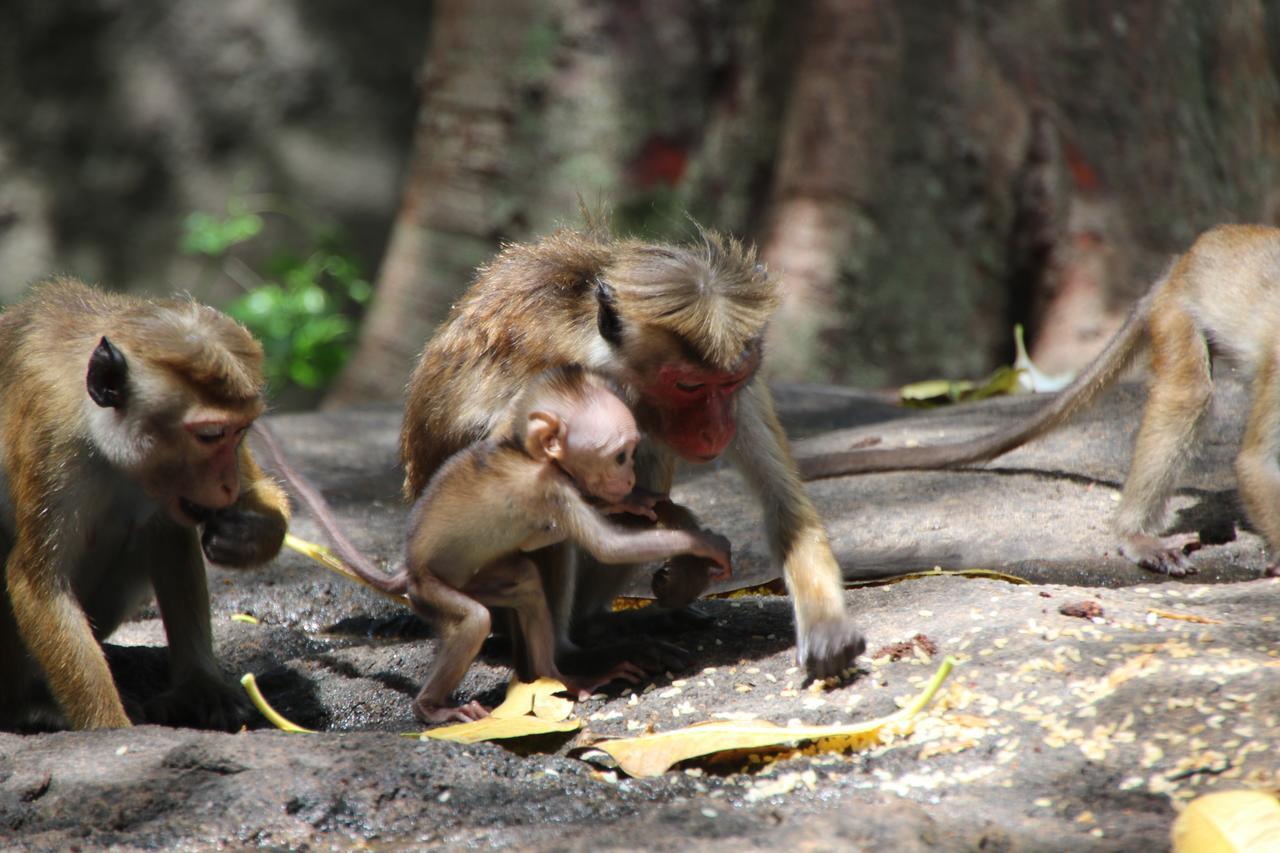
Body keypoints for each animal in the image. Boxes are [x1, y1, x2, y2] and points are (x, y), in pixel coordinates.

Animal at [0, 275, 290, 727]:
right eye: (210, 436)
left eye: (241, 431)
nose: (226, 485)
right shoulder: (50, 437)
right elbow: (37, 581)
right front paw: (111, 727)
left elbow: (253, 495)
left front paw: (247, 531)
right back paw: (27, 704)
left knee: (163, 531)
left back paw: (198, 685)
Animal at [259, 361, 732, 722]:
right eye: (620, 455)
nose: (630, 477)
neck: (530, 456)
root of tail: (407, 570)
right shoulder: (551, 491)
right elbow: (608, 546)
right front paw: (700, 542)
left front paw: (641, 501)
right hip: (432, 591)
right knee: (473, 620)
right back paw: (433, 708)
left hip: (479, 578)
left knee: (525, 582)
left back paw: (561, 677)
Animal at [399, 224, 870, 676]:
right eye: (688, 385)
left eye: (730, 382)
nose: (717, 430)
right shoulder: (549, 383)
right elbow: (520, 483)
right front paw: (691, 550)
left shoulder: (745, 393)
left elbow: (783, 502)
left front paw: (827, 626)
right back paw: (572, 656)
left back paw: (599, 621)